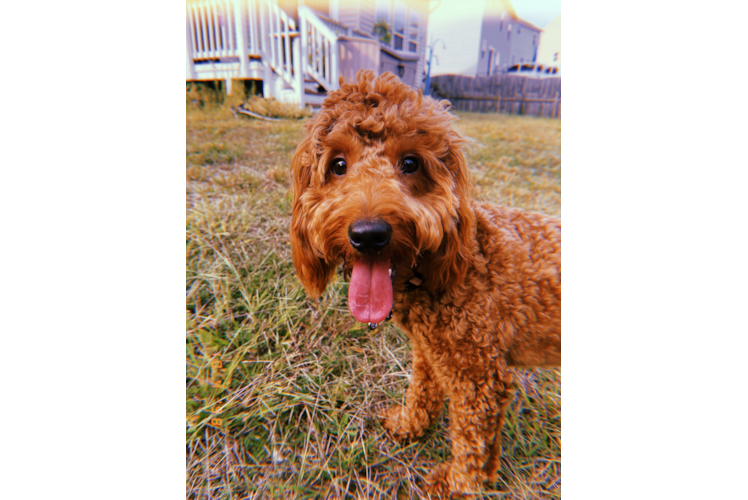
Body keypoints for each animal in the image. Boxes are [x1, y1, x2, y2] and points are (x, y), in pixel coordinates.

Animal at [290, 71, 560, 496]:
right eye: (337, 165)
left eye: (411, 163)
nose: (369, 235)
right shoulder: (431, 350)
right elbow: (421, 391)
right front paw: (410, 426)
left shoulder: (478, 376)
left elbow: (472, 439)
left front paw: (458, 484)